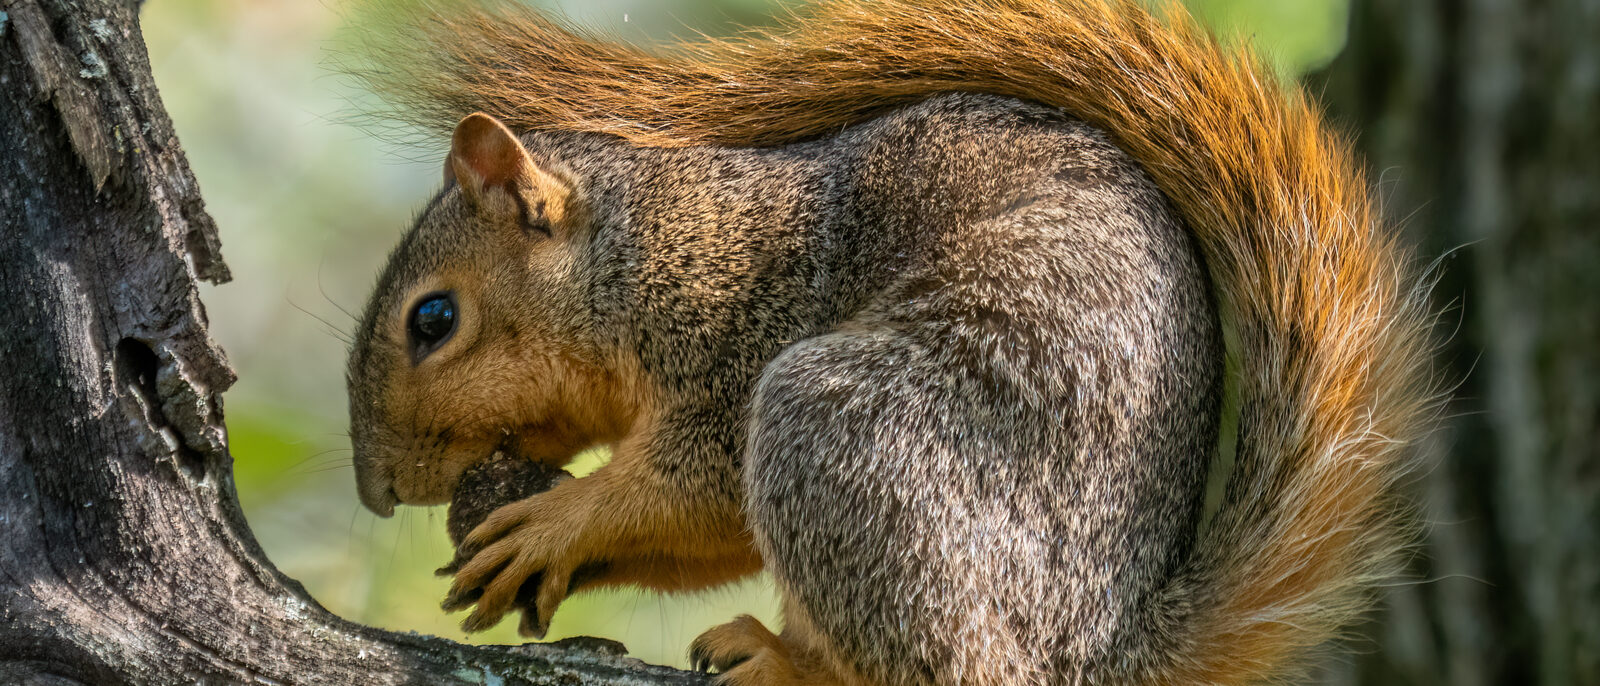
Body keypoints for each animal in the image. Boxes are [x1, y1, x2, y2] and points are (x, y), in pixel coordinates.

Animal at [343, 0, 1440, 684]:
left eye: (432, 320)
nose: (378, 493)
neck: (645, 252)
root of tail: (1100, 652)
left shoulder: (740, 330)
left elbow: (693, 487)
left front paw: (553, 522)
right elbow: (705, 536)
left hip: (844, 427)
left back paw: (791, 665)